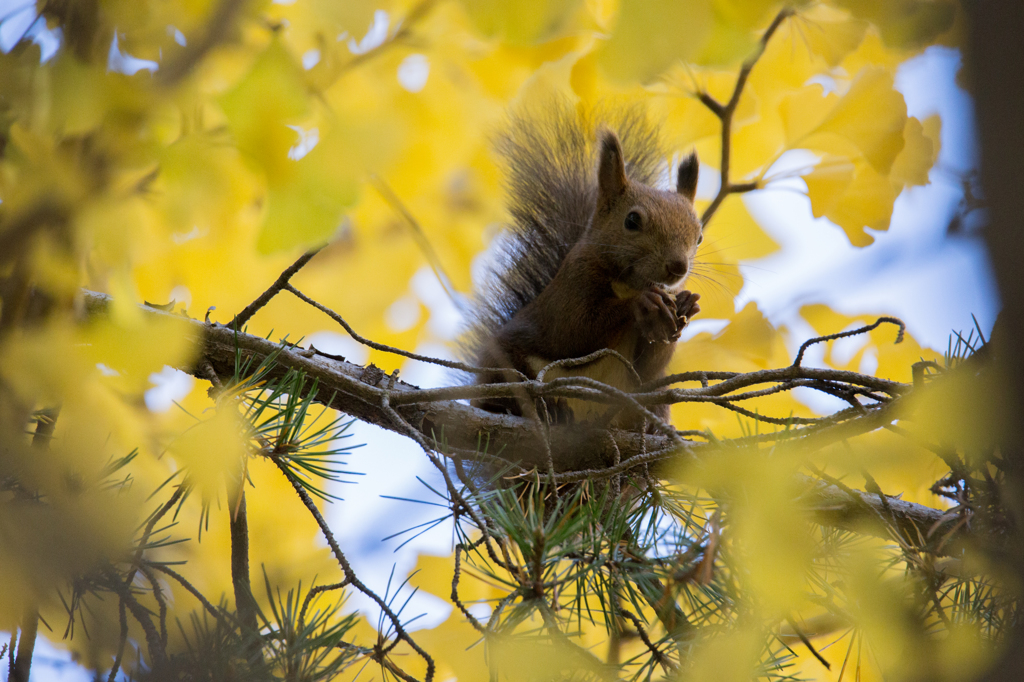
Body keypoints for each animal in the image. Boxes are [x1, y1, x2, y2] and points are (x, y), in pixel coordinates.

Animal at [466, 100, 700, 425]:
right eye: (632, 221)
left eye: (699, 236)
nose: (678, 267)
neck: (628, 282)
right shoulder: (571, 285)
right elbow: (575, 331)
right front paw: (643, 303)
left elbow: (649, 369)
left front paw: (686, 304)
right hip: (504, 366)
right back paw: (536, 409)